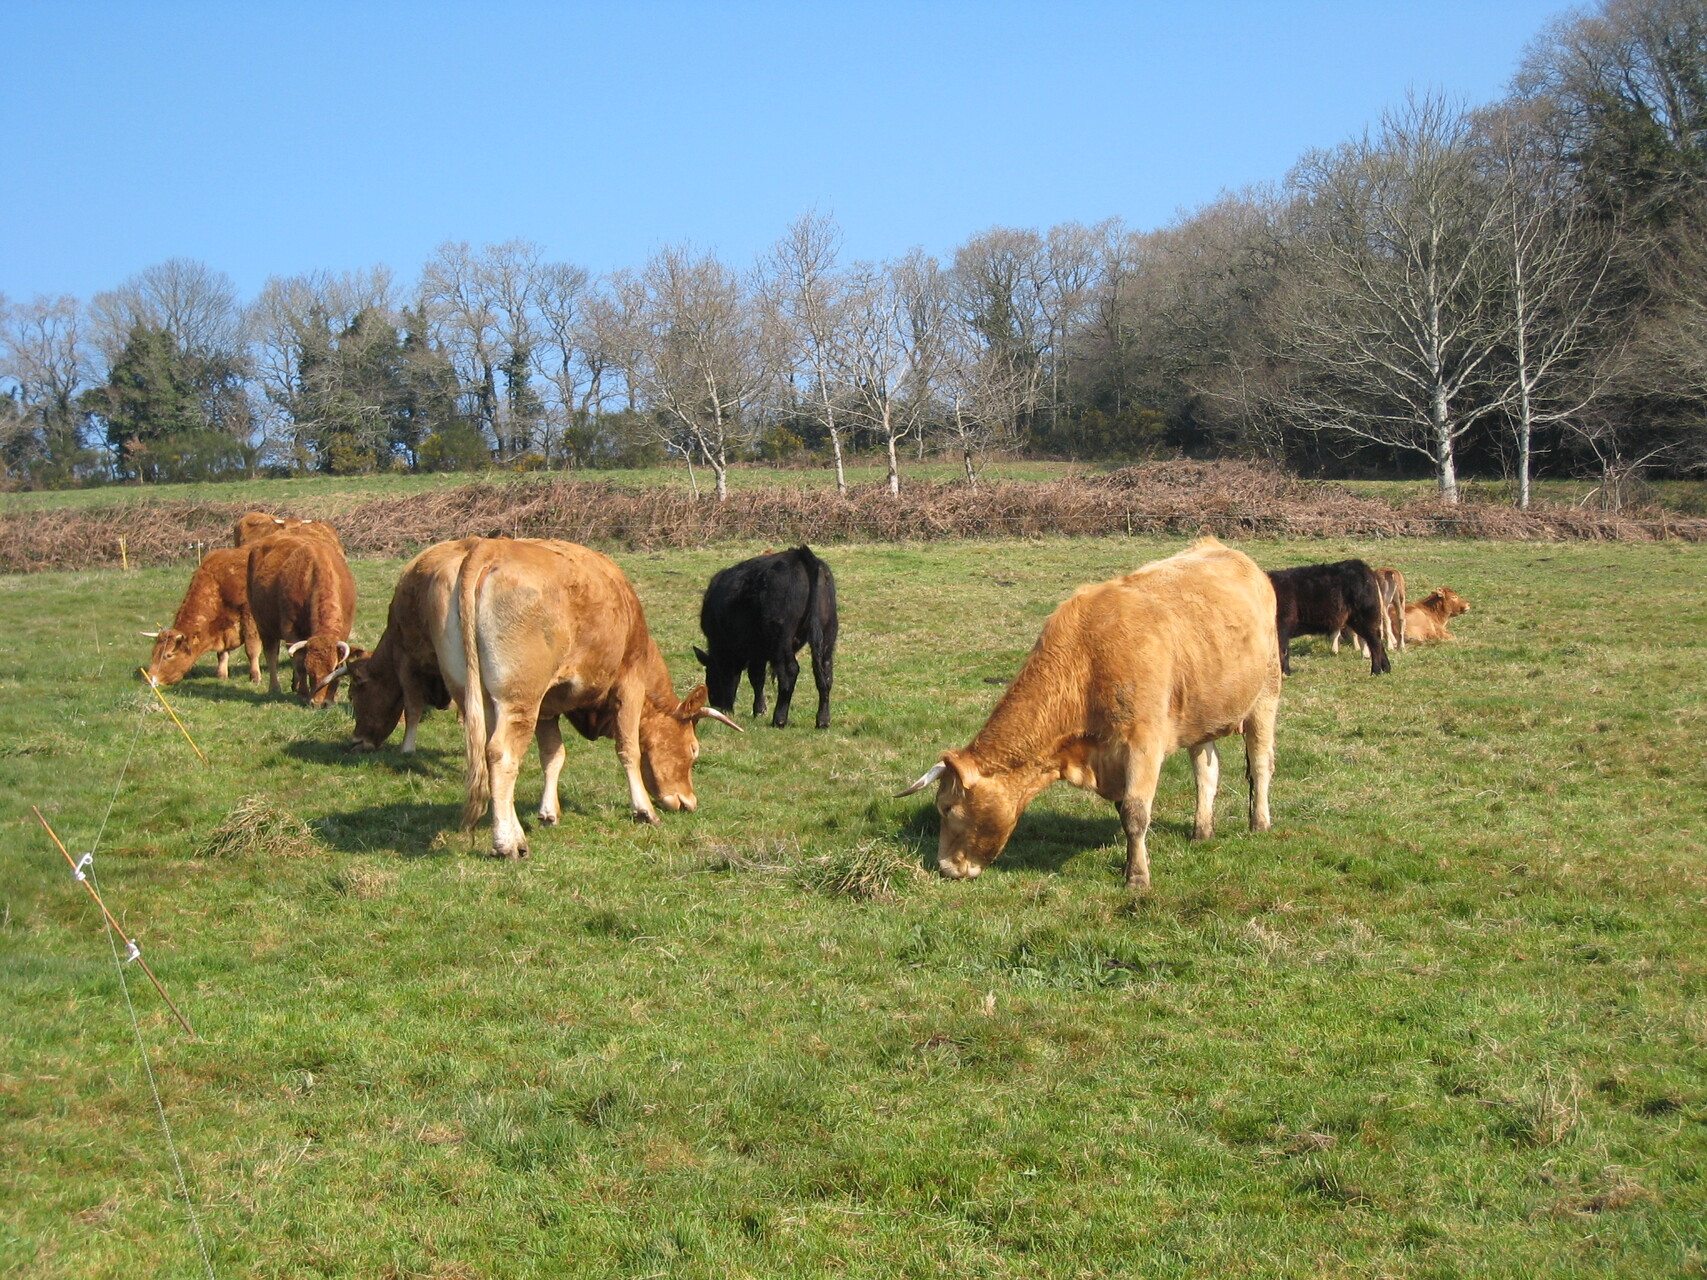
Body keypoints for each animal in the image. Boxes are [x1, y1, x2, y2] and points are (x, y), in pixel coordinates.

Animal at [142, 546, 261, 687]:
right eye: (153, 652)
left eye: (169, 655)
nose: (148, 678)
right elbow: (221, 654)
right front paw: (221, 675)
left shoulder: (249, 616)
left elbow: (252, 648)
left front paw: (255, 677)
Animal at [246, 530, 358, 707]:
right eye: (310, 671)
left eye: (332, 669)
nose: (318, 703)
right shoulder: (291, 628)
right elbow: (298, 662)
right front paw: (304, 693)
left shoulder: (345, 629)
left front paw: (331, 698)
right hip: (263, 625)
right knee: (272, 654)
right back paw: (275, 687)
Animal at [438, 538, 741, 858]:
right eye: (694, 750)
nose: (689, 802)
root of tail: (492, 548)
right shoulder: (629, 685)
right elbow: (629, 748)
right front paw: (644, 810)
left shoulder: (547, 708)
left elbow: (553, 755)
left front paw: (549, 813)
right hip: (519, 700)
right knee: (502, 756)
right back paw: (507, 843)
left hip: (477, 697)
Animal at [694, 546, 838, 729]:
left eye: (710, 676)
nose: (717, 705)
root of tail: (800, 554)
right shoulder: (758, 652)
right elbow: (757, 678)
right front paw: (760, 710)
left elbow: (749, 677)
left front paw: (753, 710)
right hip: (828, 634)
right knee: (825, 674)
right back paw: (823, 720)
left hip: (781, 639)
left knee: (789, 672)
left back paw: (779, 719)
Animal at [897, 538, 1281, 892]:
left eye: (946, 807)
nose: (945, 866)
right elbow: (1127, 810)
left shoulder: (1144, 743)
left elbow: (1135, 813)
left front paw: (1137, 878)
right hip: (1201, 716)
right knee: (1206, 772)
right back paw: (1202, 831)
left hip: (1266, 694)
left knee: (1261, 763)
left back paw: (1260, 824)